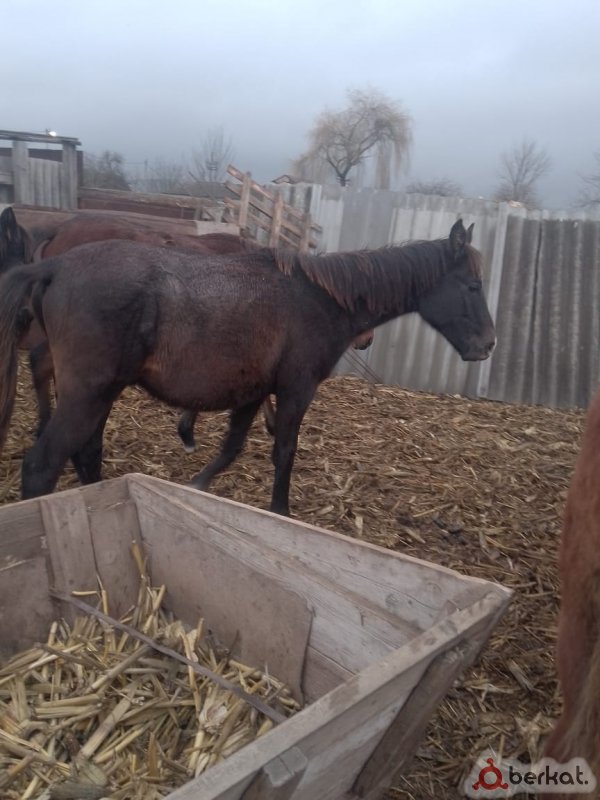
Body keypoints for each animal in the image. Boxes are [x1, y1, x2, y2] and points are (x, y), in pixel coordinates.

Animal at [0, 219, 495, 515]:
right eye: (472, 286)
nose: (487, 345)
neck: (317, 300)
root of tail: (56, 266)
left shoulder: (253, 393)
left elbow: (231, 448)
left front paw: (196, 485)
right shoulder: (296, 389)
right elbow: (284, 452)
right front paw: (281, 512)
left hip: (99, 395)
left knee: (86, 454)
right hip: (87, 394)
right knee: (42, 466)